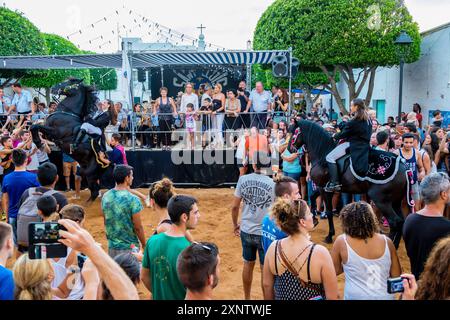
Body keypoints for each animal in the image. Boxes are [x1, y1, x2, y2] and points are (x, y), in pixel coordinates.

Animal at [288, 120, 408, 248]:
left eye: (294, 133)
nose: (289, 149)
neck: (323, 155)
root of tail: (404, 167)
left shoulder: (324, 189)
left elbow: (329, 211)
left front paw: (329, 235)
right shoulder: (322, 187)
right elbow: (312, 197)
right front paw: (314, 218)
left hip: (381, 200)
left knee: (395, 222)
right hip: (395, 201)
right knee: (401, 221)